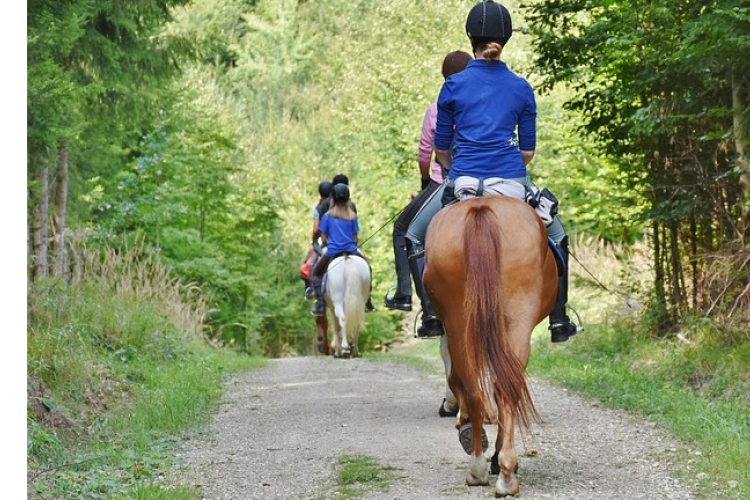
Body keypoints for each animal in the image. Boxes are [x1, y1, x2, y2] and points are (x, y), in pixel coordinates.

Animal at [424, 195, 560, 496]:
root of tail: (480, 207)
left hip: (464, 323)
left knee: (481, 388)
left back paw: (483, 466)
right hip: (512, 323)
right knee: (499, 388)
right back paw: (500, 469)